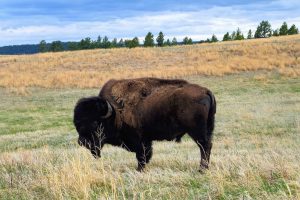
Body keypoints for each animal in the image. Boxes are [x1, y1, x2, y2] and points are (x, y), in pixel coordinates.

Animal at [73, 77, 216, 171]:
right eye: (77, 124)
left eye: (95, 122)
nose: (82, 142)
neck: (115, 112)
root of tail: (205, 91)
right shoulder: (146, 140)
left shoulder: (140, 140)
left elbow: (142, 156)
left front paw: (139, 169)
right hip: (208, 129)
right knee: (208, 146)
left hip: (197, 131)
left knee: (204, 146)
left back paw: (202, 169)